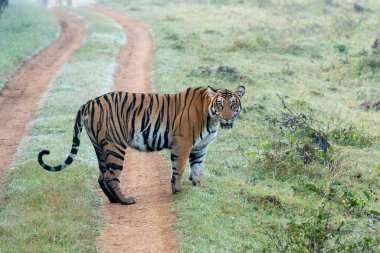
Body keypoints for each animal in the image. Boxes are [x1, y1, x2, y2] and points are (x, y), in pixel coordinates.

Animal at [37, 86, 246, 205]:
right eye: (220, 104)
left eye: (233, 104)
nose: (227, 119)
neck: (211, 119)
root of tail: (87, 103)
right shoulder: (183, 142)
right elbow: (179, 168)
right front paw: (178, 190)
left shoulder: (200, 147)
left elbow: (197, 168)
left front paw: (198, 187)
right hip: (115, 145)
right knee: (111, 176)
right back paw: (126, 200)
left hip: (100, 147)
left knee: (102, 176)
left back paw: (114, 200)